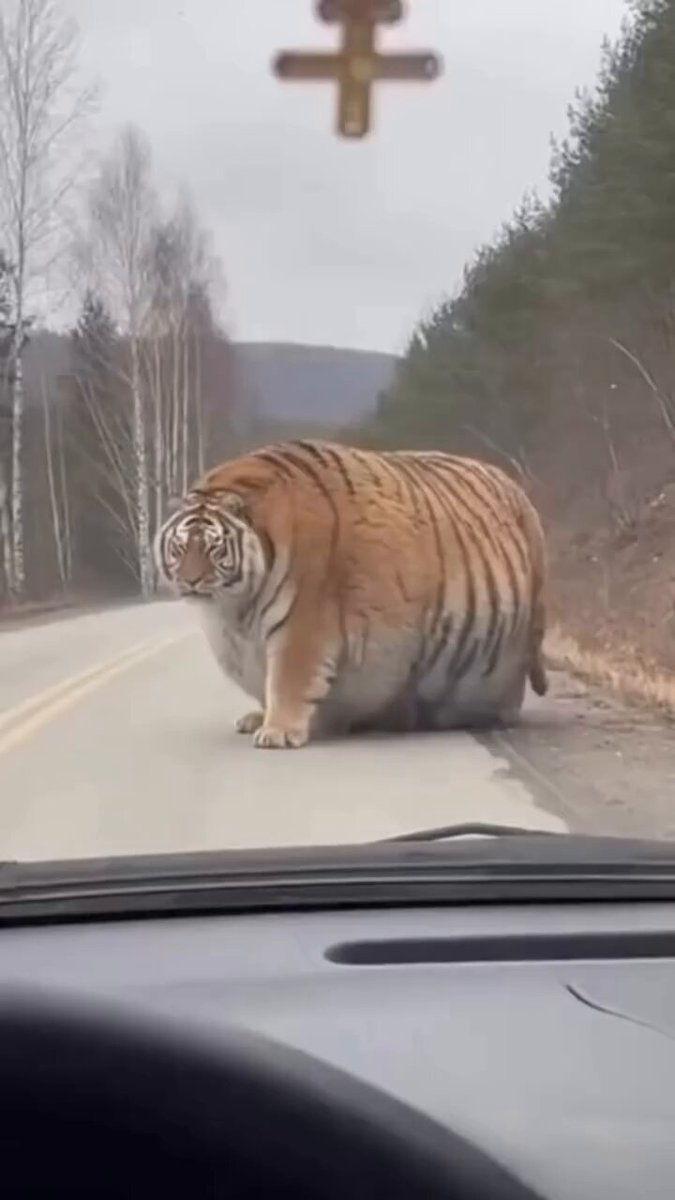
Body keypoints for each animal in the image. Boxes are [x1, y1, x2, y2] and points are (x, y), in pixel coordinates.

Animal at [154, 439, 549, 750]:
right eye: (180, 547)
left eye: (213, 548)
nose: (190, 580)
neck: (239, 604)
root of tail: (517, 489)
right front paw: (260, 717)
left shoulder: (304, 624)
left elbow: (286, 679)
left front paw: (277, 731)